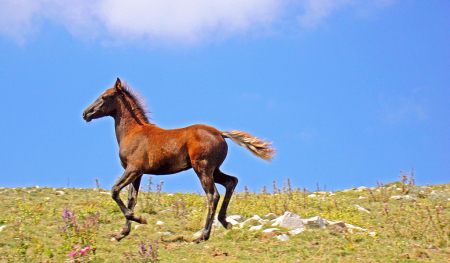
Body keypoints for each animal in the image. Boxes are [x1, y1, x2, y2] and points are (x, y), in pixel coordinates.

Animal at [82, 78, 276, 243]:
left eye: (104, 96)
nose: (85, 113)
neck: (133, 132)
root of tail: (221, 133)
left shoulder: (133, 169)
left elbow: (115, 191)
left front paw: (140, 219)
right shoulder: (138, 173)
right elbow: (131, 199)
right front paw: (122, 233)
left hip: (202, 167)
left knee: (212, 195)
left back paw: (203, 236)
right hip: (214, 170)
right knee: (231, 182)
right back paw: (225, 222)